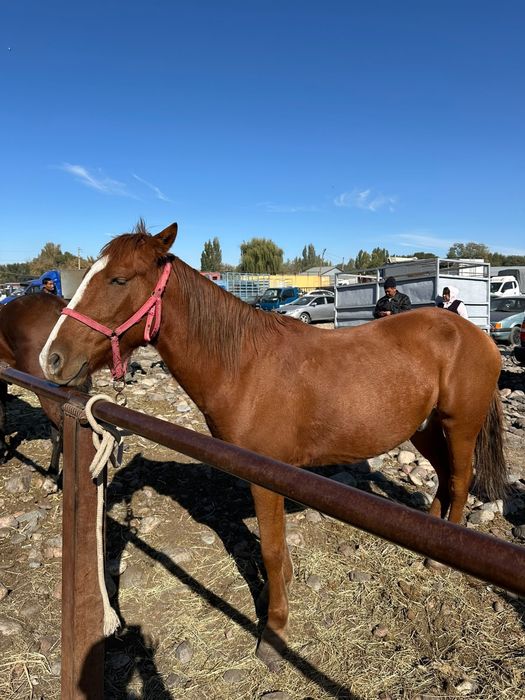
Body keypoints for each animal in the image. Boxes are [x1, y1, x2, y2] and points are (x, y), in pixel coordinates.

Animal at [39, 221, 507, 667]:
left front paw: (275, 630)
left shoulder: (266, 480)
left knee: (460, 479)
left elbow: (270, 551)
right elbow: (277, 553)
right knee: (444, 476)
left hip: (459, 427)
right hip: (424, 428)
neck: (243, 364)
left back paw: (440, 560)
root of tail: (474, 332)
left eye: (118, 279)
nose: (52, 358)